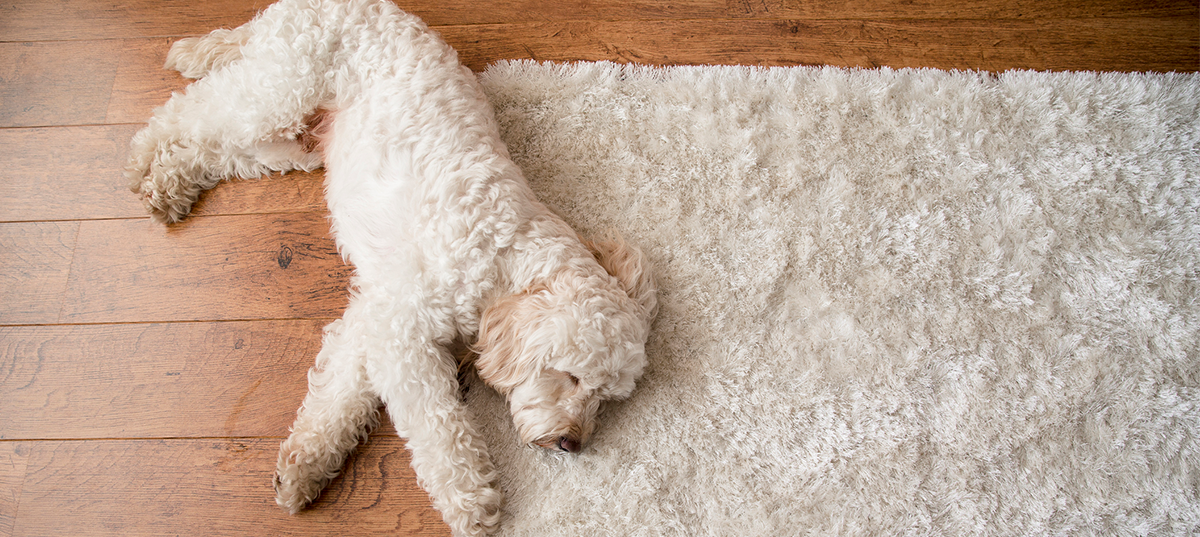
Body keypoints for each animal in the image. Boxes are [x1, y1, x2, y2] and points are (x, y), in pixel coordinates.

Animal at [124, 2, 657, 534]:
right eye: (571, 377)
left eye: (606, 399)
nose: (574, 444)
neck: (503, 258)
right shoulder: (405, 330)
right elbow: (439, 425)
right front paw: (470, 499)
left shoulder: (375, 317)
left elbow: (340, 393)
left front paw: (306, 465)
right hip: (274, 94)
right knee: (187, 110)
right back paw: (142, 162)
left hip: (290, 143)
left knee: (215, 148)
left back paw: (170, 183)